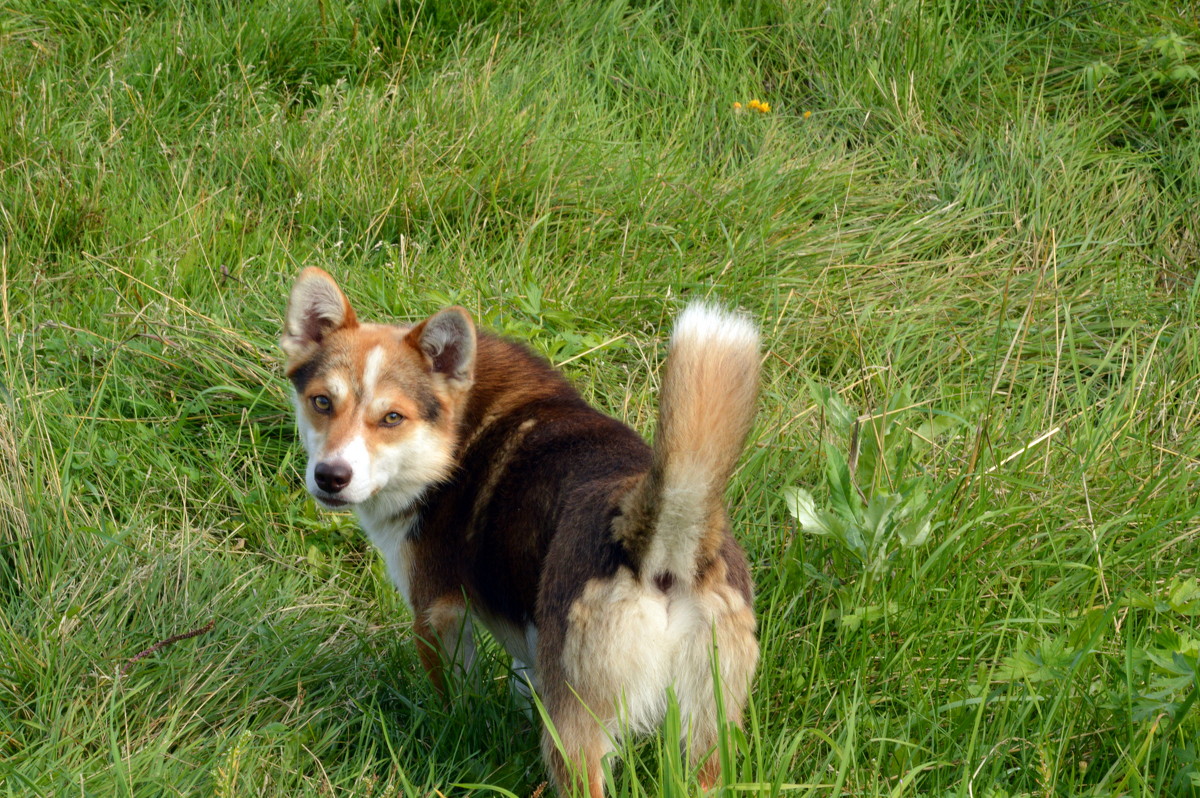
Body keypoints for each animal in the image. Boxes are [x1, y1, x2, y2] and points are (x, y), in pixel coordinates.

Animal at [278, 268, 758, 796]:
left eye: (392, 418)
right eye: (322, 402)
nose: (330, 477)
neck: (455, 434)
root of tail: (660, 547)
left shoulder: (436, 613)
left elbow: (458, 701)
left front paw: (456, 735)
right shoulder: (528, 645)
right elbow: (521, 686)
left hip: (576, 733)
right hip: (709, 733)